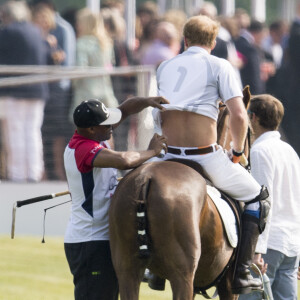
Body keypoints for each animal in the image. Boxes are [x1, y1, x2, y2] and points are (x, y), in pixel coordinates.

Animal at [109, 87, 252, 300]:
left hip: (126, 269)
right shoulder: (226, 284)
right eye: (250, 129)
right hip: (182, 275)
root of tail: (145, 178)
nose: (245, 163)